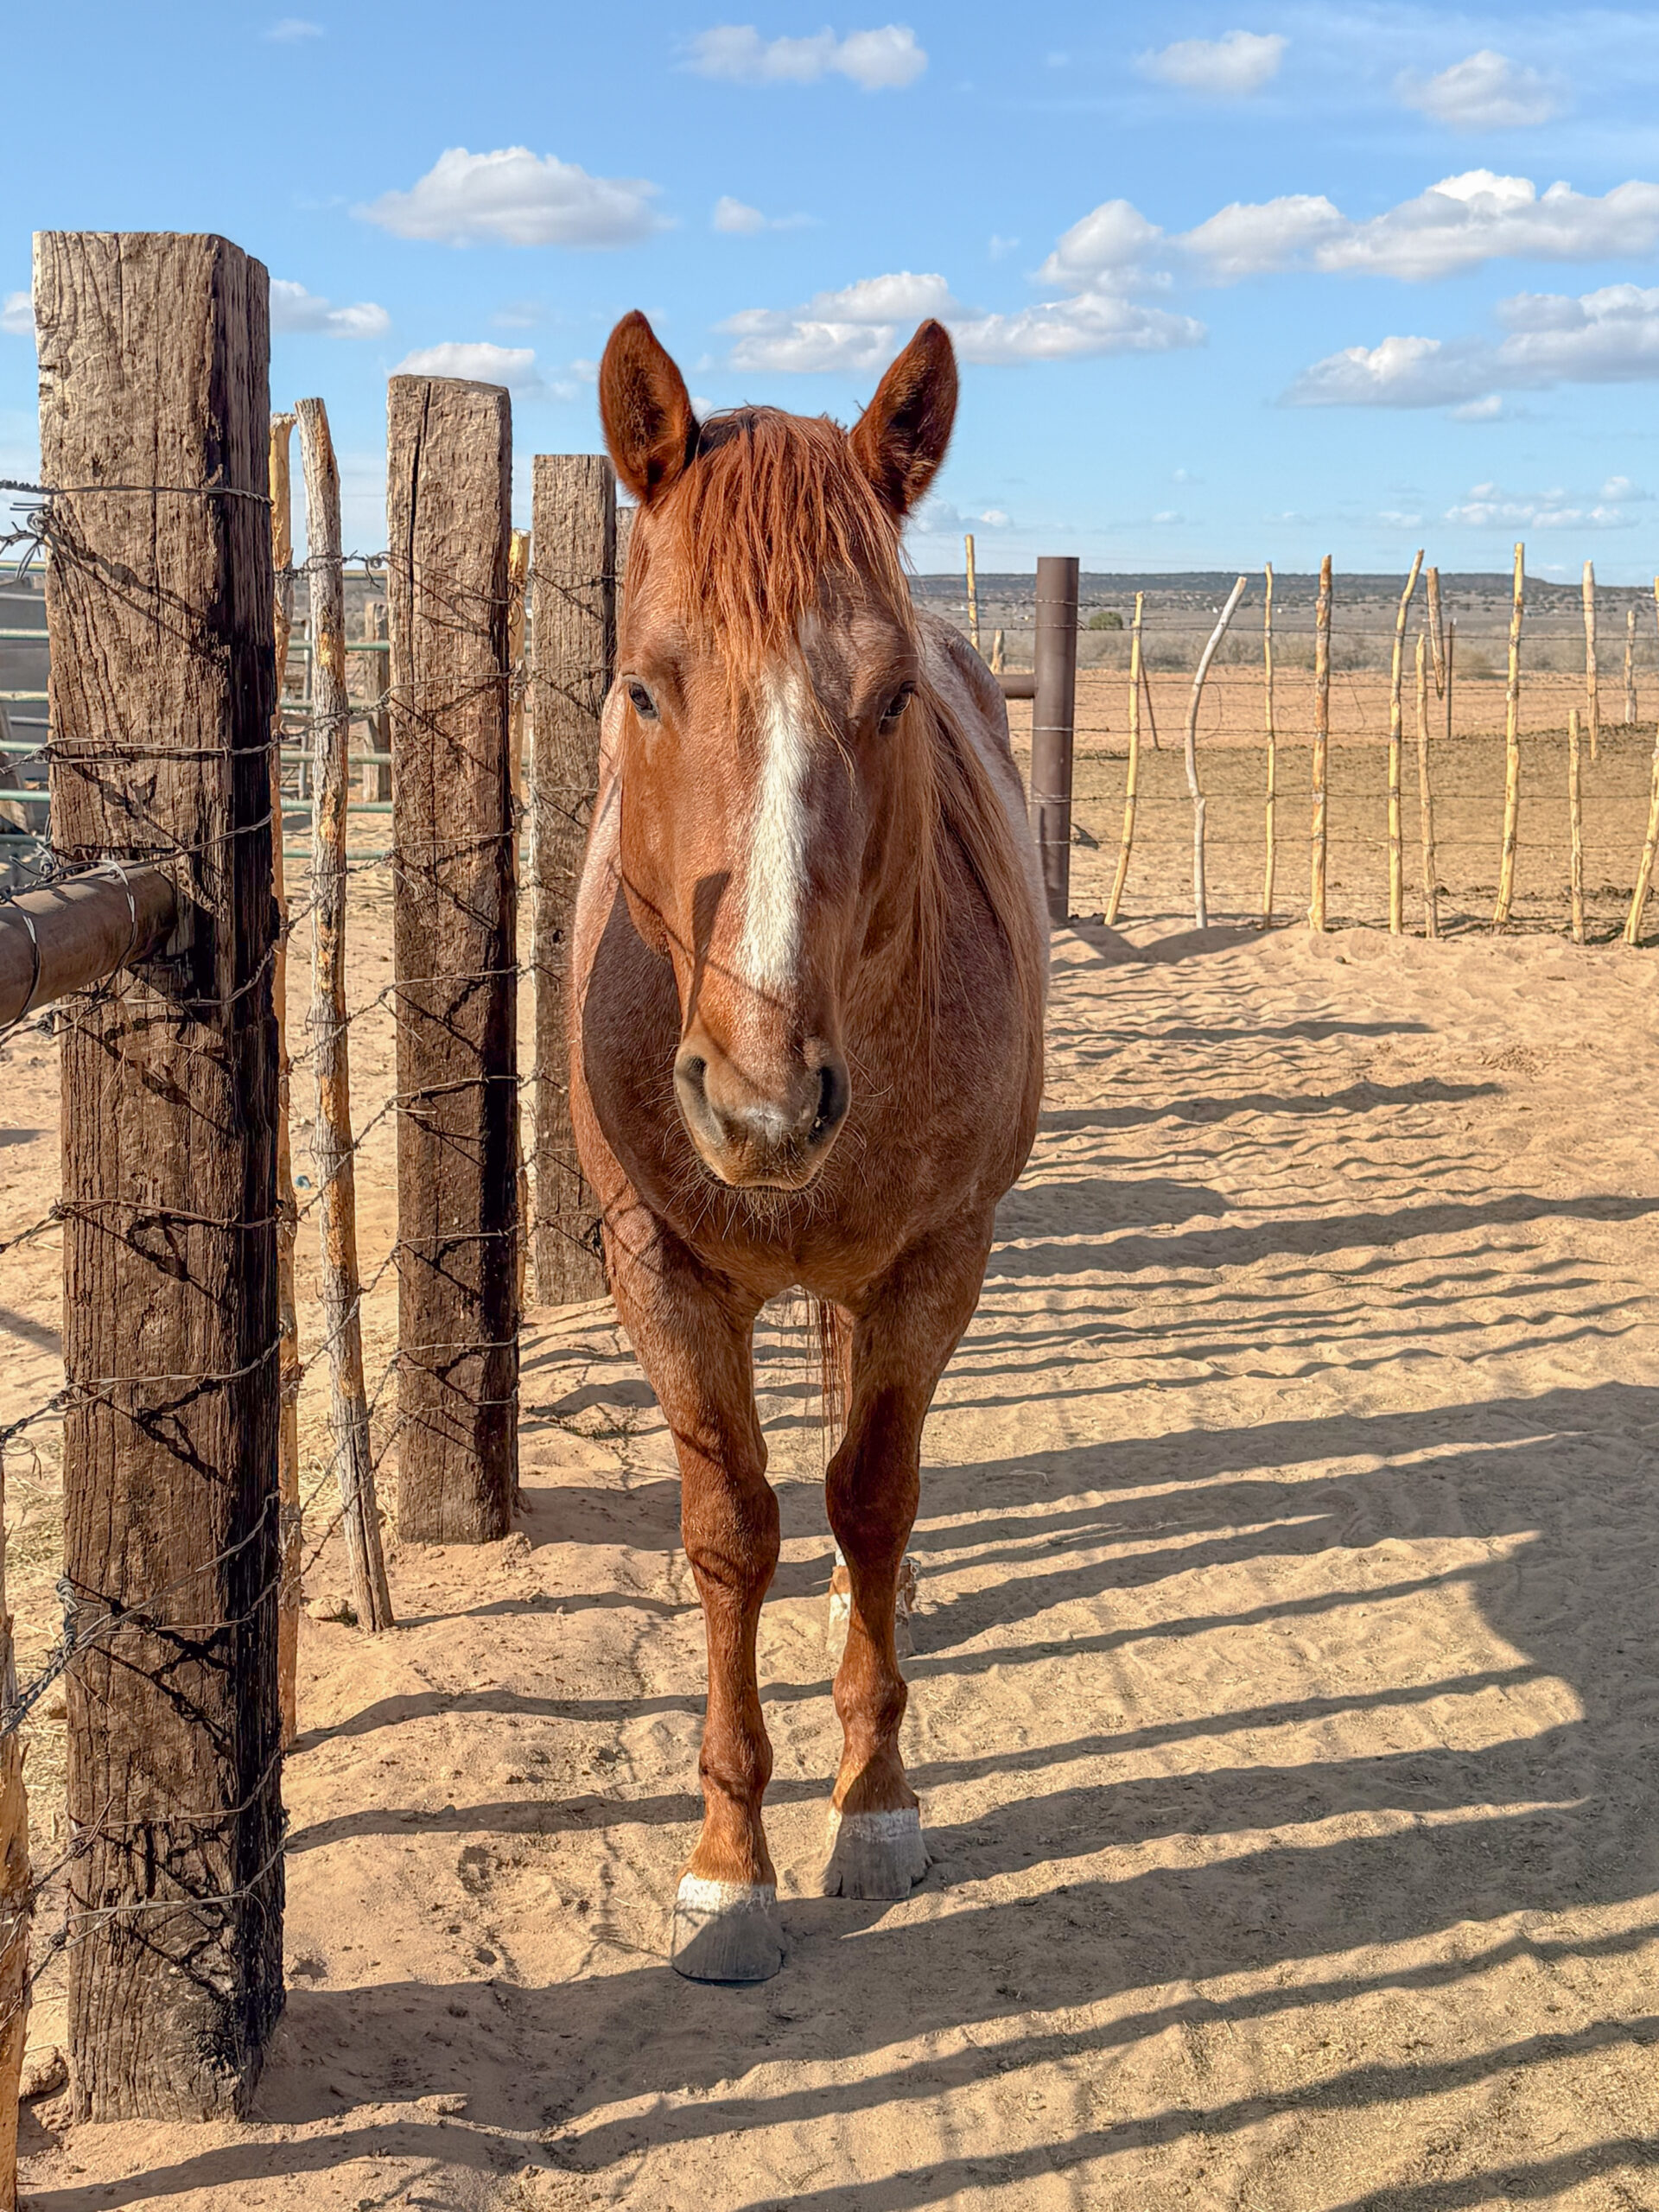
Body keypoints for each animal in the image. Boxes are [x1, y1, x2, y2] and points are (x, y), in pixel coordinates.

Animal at [571, 311, 1048, 1981]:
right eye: (645, 690)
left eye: (892, 699)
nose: (762, 1105)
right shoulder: (656, 1267)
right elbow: (731, 1535)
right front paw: (728, 1867)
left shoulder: (936, 1264)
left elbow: (875, 1497)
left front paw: (875, 1804)